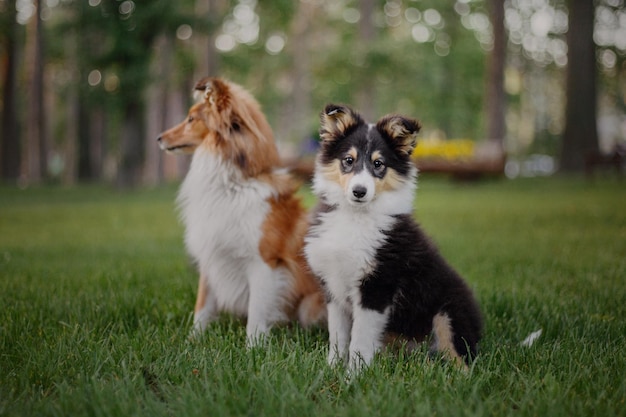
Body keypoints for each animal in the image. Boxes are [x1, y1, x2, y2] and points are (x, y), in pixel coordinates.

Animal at [156, 77, 324, 342]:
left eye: (191, 119)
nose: (159, 138)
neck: (232, 184)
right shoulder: (211, 253)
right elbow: (202, 305)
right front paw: (192, 340)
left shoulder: (264, 262)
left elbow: (257, 310)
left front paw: (254, 345)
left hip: (310, 306)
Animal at [304, 104, 482, 370]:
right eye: (348, 160)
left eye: (378, 164)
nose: (359, 192)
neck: (356, 217)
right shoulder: (333, 288)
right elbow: (338, 336)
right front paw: (332, 368)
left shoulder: (377, 286)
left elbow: (360, 339)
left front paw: (353, 374)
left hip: (447, 314)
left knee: (463, 360)